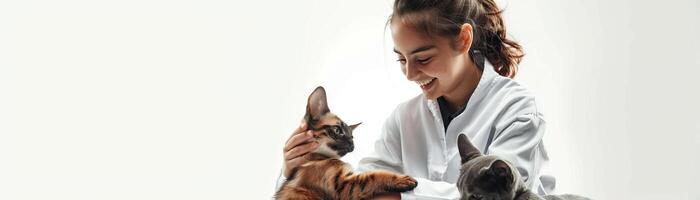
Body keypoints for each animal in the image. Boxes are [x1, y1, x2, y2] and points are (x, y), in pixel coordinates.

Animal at [274, 87, 416, 200]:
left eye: (352, 137)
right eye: (338, 130)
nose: (352, 144)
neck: (317, 157)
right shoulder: (343, 186)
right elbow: (375, 175)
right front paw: (403, 179)